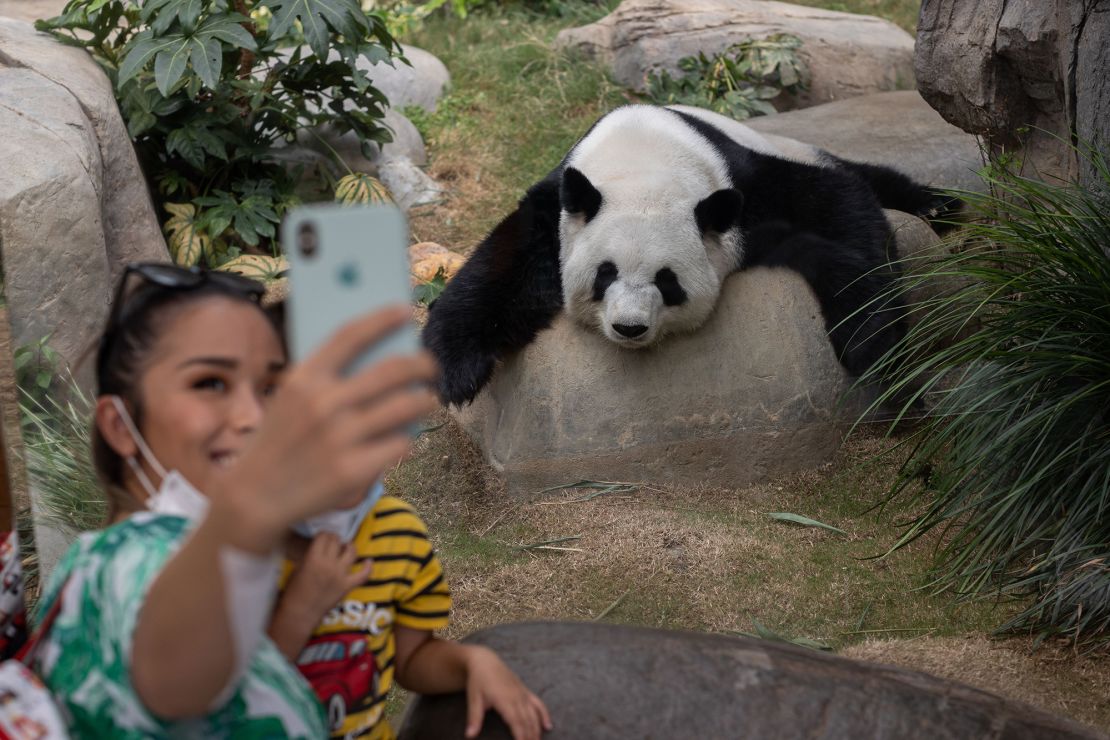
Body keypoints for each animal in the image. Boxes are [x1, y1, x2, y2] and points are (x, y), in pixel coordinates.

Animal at [419, 104, 959, 406]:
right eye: (604, 274)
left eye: (667, 280)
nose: (629, 328)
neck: (644, 164)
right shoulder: (560, 204)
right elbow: (504, 262)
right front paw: (453, 370)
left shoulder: (743, 186)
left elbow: (839, 210)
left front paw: (875, 353)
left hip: (798, 146)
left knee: (866, 175)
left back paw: (942, 206)